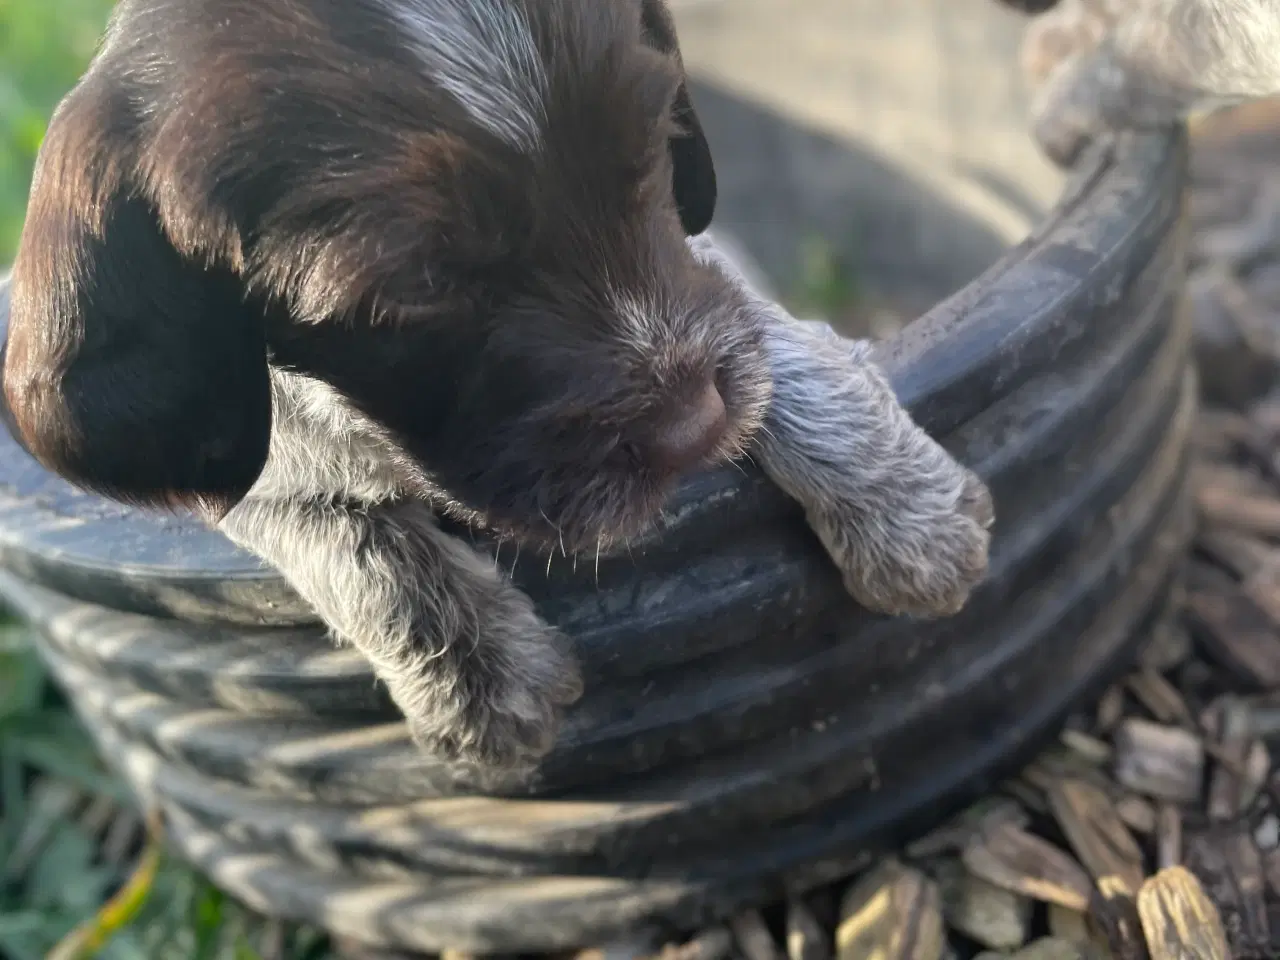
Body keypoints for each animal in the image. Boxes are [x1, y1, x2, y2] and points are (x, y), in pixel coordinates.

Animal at [0, 0, 993, 778]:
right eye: (419, 287)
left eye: (651, 145)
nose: (694, 429)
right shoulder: (243, 461)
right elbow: (337, 530)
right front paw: (473, 683)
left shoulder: (705, 274)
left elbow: (760, 329)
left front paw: (902, 507)